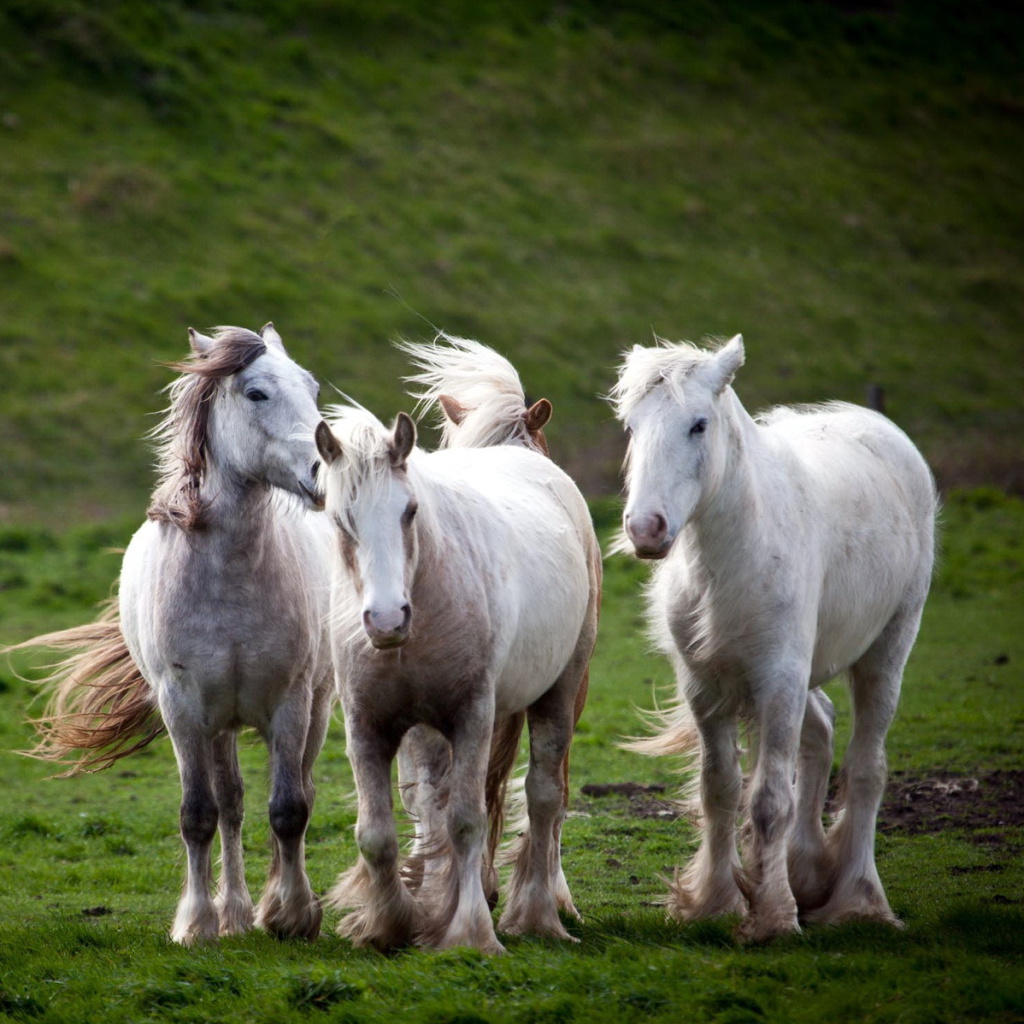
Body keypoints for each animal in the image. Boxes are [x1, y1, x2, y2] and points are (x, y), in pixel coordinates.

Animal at [606, 335, 937, 942]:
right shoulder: (706, 688)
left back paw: (858, 898)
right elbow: (720, 790)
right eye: (631, 427)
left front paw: (775, 915)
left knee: (866, 768)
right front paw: (717, 902)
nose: (645, 529)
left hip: (885, 652)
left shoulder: (779, 679)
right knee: (821, 733)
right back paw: (807, 871)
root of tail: (875, 425)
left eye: (698, 425)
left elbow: (768, 801)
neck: (734, 553)